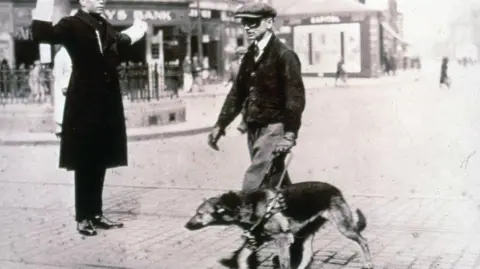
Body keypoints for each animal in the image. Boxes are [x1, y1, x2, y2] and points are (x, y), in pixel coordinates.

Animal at [185, 180, 376, 268]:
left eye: (199, 214)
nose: (186, 226)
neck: (247, 205)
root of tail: (335, 189)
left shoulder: (282, 239)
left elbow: (284, 263)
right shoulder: (256, 240)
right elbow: (240, 257)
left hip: (344, 228)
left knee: (363, 241)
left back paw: (368, 262)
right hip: (304, 233)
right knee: (308, 254)